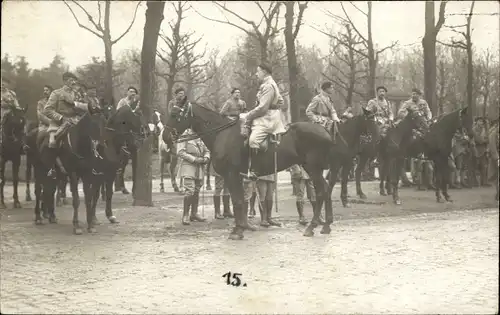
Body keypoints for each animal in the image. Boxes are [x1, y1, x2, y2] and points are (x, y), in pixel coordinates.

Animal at [166, 103, 354, 239]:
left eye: (175, 115)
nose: (165, 137)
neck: (223, 134)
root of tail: (326, 130)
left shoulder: (232, 175)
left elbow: (238, 202)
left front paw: (238, 231)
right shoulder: (236, 177)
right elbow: (239, 201)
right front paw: (241, 227)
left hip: (313, 168)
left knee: (322, 192)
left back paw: (312, 226)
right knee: (325, 191)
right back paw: (326, 225)